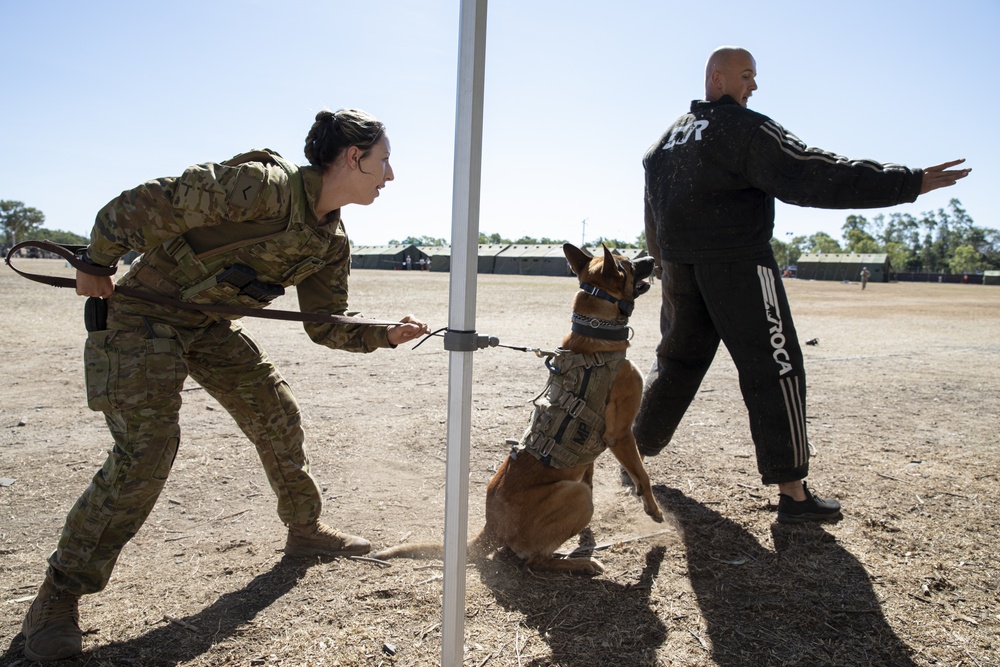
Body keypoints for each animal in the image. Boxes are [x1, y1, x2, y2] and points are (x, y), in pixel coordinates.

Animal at [376, 244, 664, 576]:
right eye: (628, 264)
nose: (653, 258)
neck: (596, 335)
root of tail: (491, 528)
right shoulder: (621, 435)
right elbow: (642, 474)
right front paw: (653, 509)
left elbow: (592, 470)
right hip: (578, 497)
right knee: (535, 561)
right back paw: (581, 562)